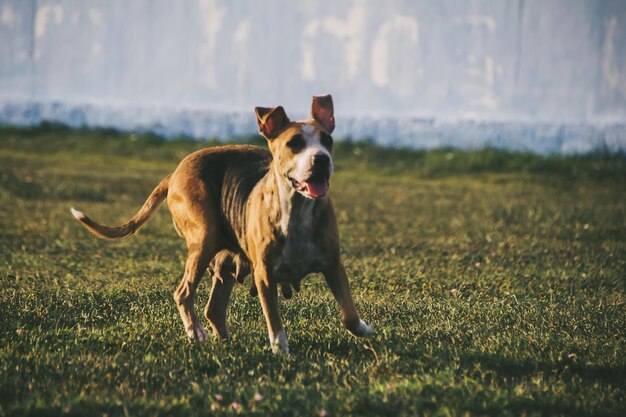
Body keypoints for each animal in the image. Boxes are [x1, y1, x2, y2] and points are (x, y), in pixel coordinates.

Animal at [69, 95, 370, 354]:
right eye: (294, 143)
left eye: (327, 140)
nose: (321, 159)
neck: (296, 209)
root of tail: (174, 172)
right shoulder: (264, 275)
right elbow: (274, 321)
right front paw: (280, 351)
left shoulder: (333, 264)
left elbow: (348, 314)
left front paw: (364, 328)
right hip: (205, 238)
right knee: (183, 293)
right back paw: (195, 331)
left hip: (224, 258)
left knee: (213, 308)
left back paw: (225, 341)